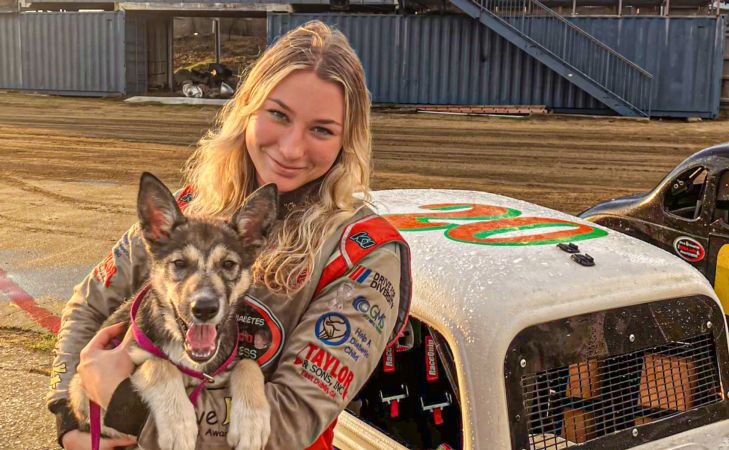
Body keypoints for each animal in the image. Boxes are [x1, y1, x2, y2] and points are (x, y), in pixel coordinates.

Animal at [69, 173, 278, 450]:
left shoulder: (219, 373)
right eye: (179, 263)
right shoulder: (90, 390)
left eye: (228, 264)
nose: (204, 308)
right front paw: (179, 424)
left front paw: (252, 421)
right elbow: (160, 364)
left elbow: (248, 363)